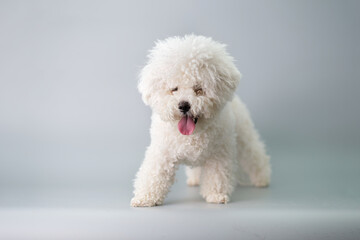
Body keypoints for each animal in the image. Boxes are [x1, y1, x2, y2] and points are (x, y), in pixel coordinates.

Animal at [131, 35, 270, 206]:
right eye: (174, 89)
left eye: (199, 89)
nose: (184, 105)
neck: (193, 135)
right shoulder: (162, 152)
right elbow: (153, 174)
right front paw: (144, 198)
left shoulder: (219, 153)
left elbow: (217, 175)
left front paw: (216, 195)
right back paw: (195, 179)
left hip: (244, 135)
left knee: (254, 155)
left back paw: (262, 178)